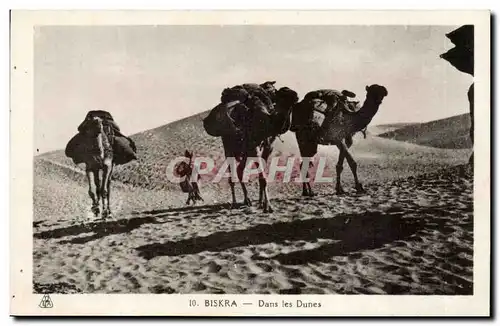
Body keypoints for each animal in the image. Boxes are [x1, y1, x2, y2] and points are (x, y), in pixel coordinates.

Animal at [202, 83, 298, 213]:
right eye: (283, 92)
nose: (296, 96)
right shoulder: (254, 147)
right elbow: (263, 178)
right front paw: (268, 206)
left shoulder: (268, 147)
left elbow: (262, 177)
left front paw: (261, 203)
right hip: (229, 147)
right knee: (232, 173)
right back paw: (234, 202)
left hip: (245, 151)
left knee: (240, 170)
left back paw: (247, 200)